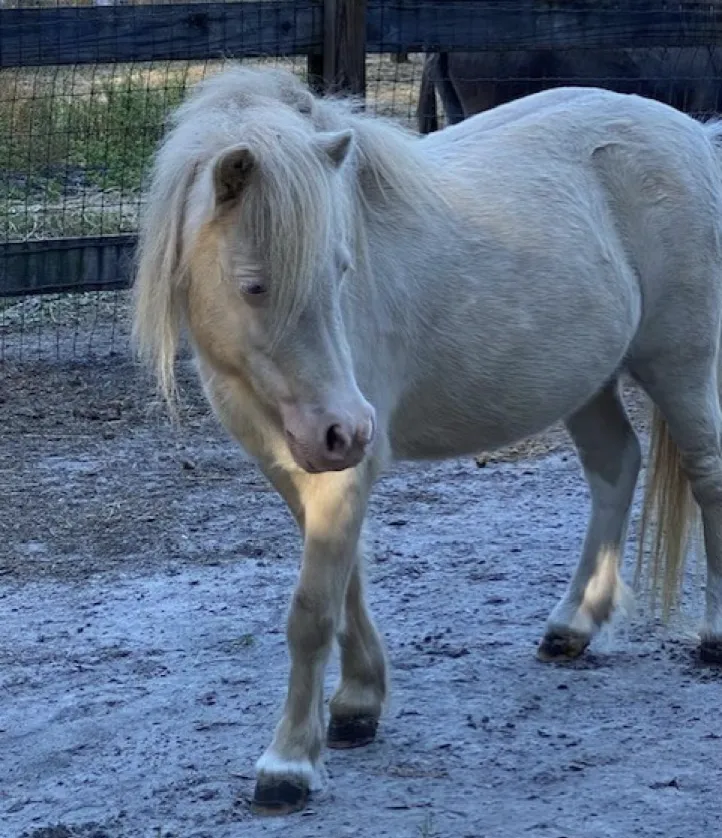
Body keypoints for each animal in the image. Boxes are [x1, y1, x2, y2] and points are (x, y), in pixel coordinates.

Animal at [133, 65, 722, 815]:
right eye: (254, 286)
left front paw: (288, 764)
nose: (346, 426)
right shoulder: (295, 463)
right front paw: (358, 705)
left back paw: (713, 637)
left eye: (341, 271)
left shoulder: (340, 469)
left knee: (707, 476)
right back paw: (573, 626)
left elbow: (312, 610)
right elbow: (347, 585)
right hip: (586, 382)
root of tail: (693, 134)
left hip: (679, 364)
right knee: (615, 466)